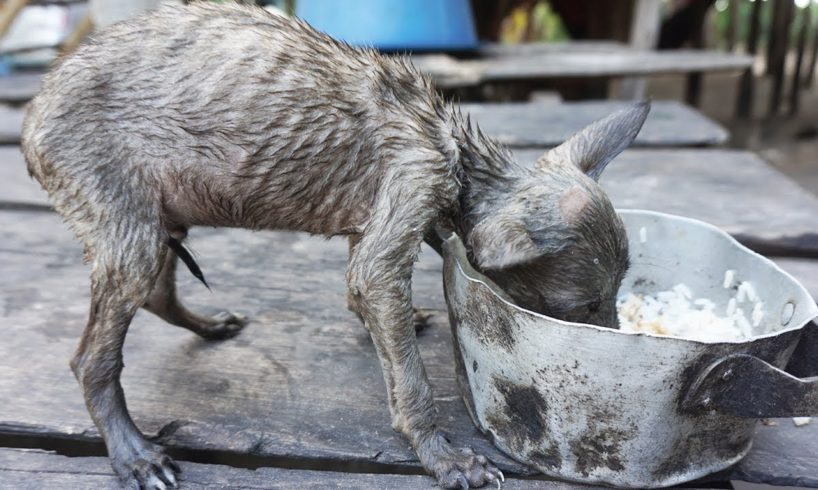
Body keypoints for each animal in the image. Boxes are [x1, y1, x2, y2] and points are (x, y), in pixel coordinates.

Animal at [17, 1, 644, 488]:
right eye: (584, 307)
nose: (616, 345)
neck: (456, 154)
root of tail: (31, 116)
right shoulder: (409, 195)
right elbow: (409, 376)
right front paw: (443, 458)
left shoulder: (378, 225)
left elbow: (367, 293)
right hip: (129, 227)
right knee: (91, 359)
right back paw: (134, 455)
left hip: (158, 216)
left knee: (156, 295)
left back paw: (208, 325)